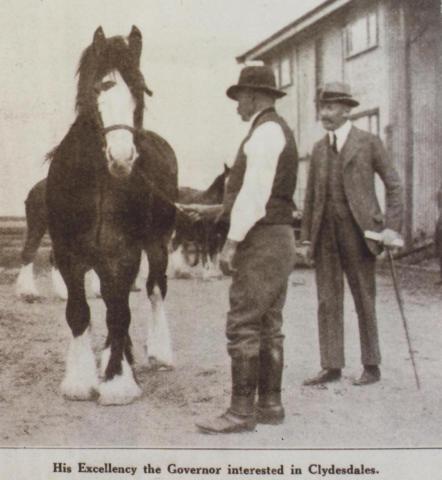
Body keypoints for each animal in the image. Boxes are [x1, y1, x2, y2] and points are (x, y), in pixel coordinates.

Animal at [45, 27, 176, 404]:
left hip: (157, 245)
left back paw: (158, 353)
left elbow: (120, 313)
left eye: (140, 90)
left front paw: (118, 381)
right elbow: (79, 312)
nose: (121, 158)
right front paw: (80, 380)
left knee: (155, 289)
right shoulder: (68, 254)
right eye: (97, 90)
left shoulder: (125, 253)